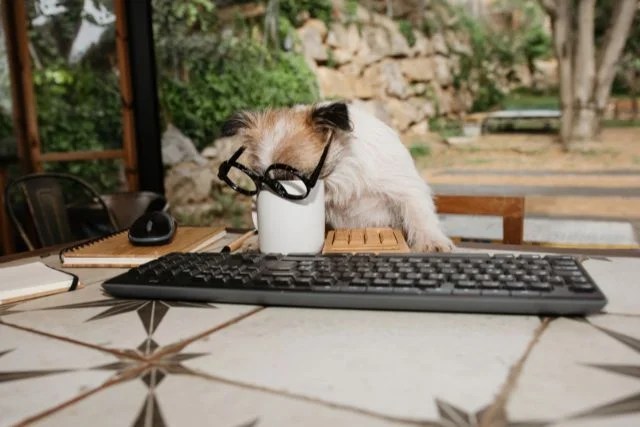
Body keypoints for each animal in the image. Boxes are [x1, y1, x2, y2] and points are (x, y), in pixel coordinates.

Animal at [220, 101, 456, 252]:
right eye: (257, 182)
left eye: (290, 180)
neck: (339, 177)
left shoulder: (405, 189)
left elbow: (419, 214)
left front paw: (431, 240)